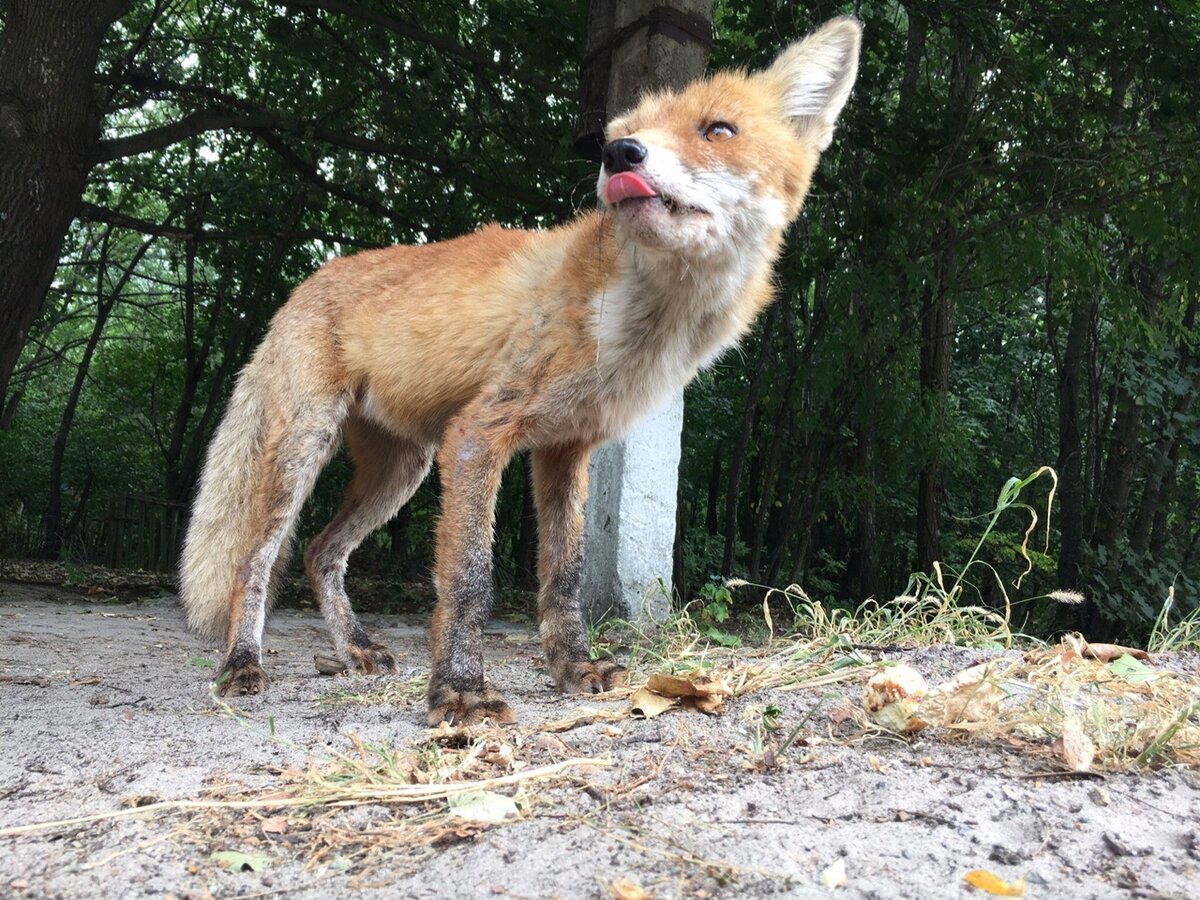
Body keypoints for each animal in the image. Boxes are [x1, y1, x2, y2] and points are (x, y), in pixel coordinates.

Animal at [180, 15, 864, 724]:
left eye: (719, 130)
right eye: (623, 132)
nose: (620, 156)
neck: (635, 328)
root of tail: (303, 284)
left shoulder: (566, 448)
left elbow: (563, 578)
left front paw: (574, 668)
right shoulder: (480, 434)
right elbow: (470, 580)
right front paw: (460, 688)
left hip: (402, 470)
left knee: (321, 554)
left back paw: (356, 651)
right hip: (308, 451)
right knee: (256, 562)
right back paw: (242, 663)